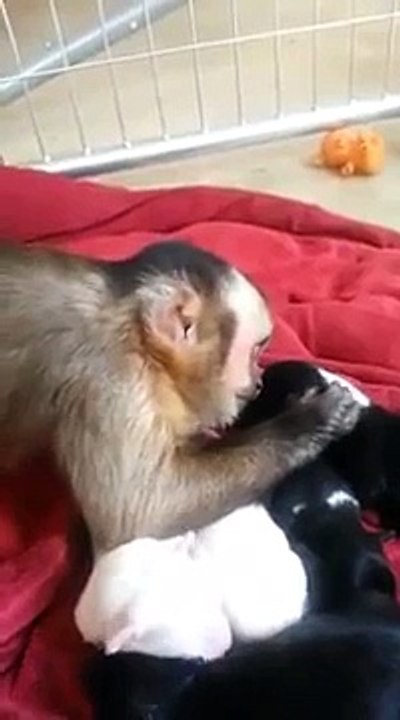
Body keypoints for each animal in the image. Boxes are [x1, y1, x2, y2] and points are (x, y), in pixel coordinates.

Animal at [0, 239, 361, 551]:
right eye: (256, 351)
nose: (258, 380)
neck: (138, 338)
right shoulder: (112, 381)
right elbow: (139, 513)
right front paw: (310, 421)